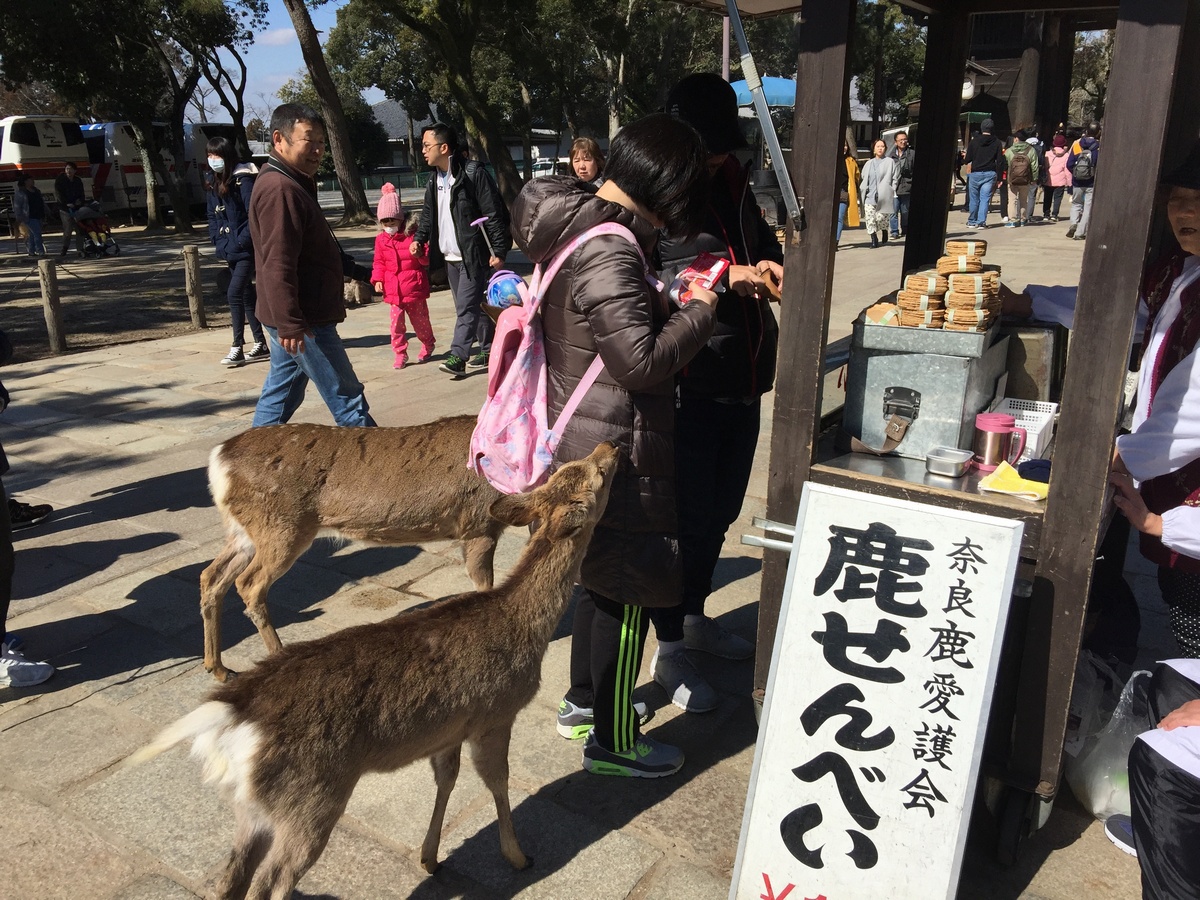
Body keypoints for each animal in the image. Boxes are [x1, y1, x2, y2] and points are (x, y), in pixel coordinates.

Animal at [199, 415, 505, 682]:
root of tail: (217, 463)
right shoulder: (479, 522)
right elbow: (485, 586)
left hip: (245, 532)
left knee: (211, 576)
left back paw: (219, 668)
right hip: (280, 527)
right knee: (248, 583)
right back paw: (275, 658)